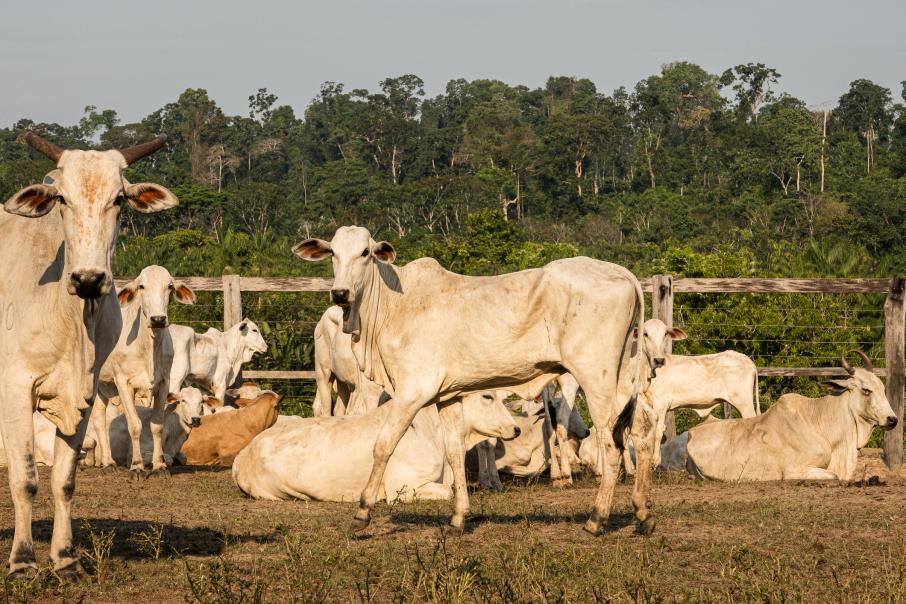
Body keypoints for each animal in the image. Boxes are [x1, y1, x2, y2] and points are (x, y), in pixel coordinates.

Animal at [0, 133, 176, 580]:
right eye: (62, 197)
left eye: (119, 199)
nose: (89, 279)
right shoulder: (14, 388)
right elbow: (25, 479)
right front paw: (22, 560)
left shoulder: (84, 390)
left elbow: (64, 479)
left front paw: (65, 559)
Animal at [89, 266, 195, 478]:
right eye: (141, 286)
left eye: (169, 286)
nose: (158, 319)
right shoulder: (123, 382)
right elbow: (135, 425)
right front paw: (137, 466)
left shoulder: (163, 383)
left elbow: (157, 426)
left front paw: (159, 466)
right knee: (97, 418)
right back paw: (108, 462)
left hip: (104, 386)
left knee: (99, 417)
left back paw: (107, 461)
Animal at [294, 225, 648, 532]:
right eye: (333, 253)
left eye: (365, 252)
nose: (340, 293)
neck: (394, 305)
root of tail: (622, 272)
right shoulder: (448, 396)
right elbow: (454, 452)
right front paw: (459, 517)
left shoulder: (412, 391)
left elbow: (383, 445)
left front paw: (362, 511)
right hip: (623, 376)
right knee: (640, 433)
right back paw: (642, 513)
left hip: (596, 376)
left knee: (610, 443)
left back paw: (597, 518)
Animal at [684, 350, 896, 482]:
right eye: (866, 390)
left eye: (882, 387)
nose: (892, 420)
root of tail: (692, 434)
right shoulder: (794, 470)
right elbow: (833, 476)